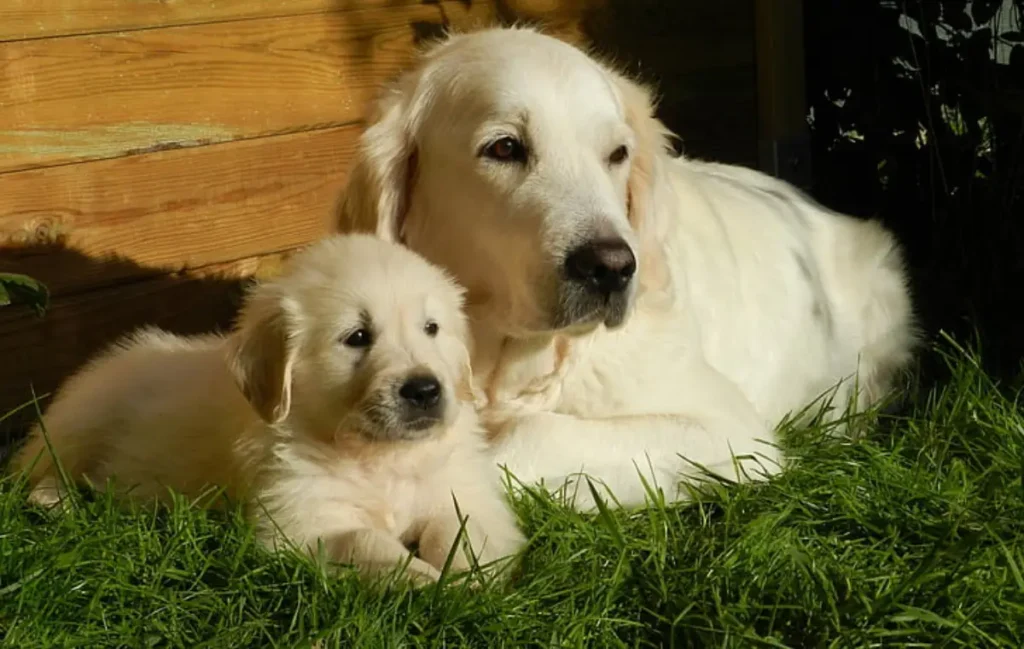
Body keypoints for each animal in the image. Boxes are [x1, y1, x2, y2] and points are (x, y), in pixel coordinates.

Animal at [14, 233, 528, 585]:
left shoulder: (464, 491)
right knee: (34, 468)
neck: (376, 456)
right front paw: (427, 582)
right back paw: (54, 500)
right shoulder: (298, 522)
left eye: (431, 328)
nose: (424, 390)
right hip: (80, 415)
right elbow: (365, 541)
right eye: (357, 337)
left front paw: (467, 580)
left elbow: (462, 530)